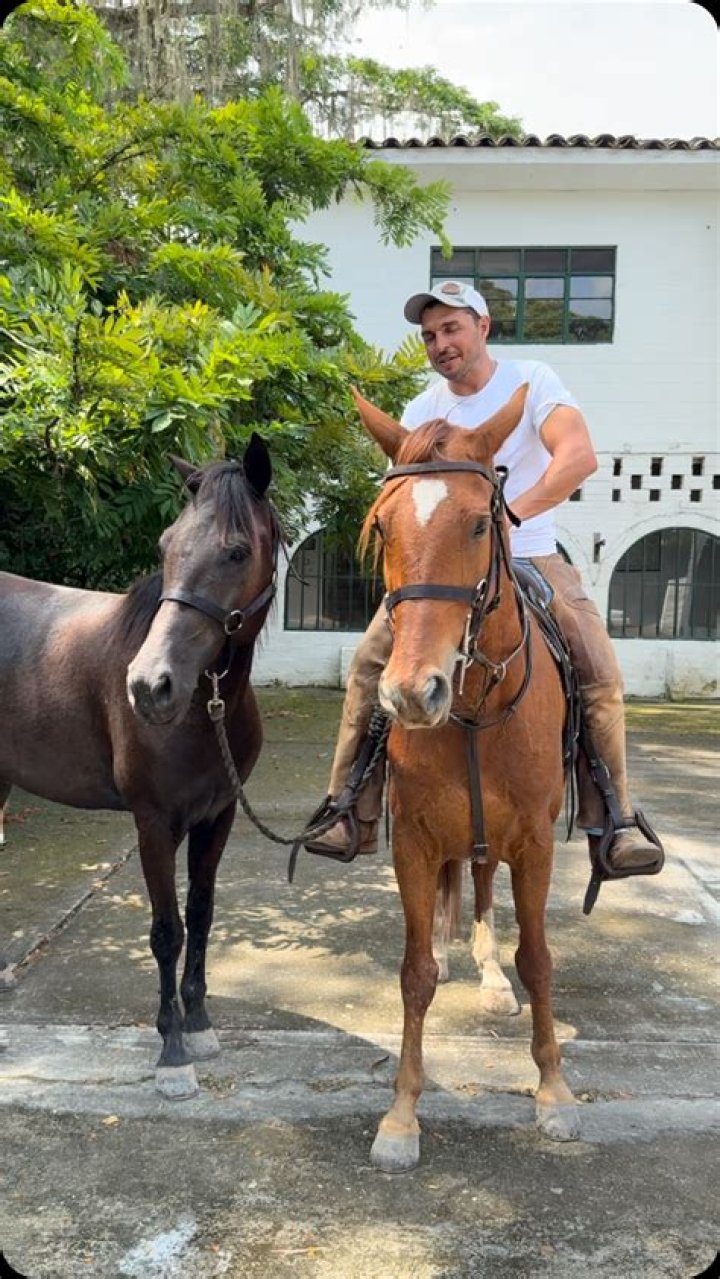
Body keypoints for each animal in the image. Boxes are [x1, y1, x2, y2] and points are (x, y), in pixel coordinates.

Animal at [0, 433, 279, 1098]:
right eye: (165, 545)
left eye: (237, 551)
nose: (151, 687)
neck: (206, 712)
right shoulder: (152, 823)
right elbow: (166, 930)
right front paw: (173, 1052)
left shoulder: (217, 817)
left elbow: (200, 915)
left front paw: (199, 1025)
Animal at [352, 384, 581, 1171]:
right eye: (383, 526)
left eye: (482, 522)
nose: (412, 693)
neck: (477, 708)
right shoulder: (415, 843)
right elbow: (414, 972)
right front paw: (400, 1115)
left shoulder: (535, 844)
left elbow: (539, 960)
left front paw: (553, 1092)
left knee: (485, 893)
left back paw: (487, 977)